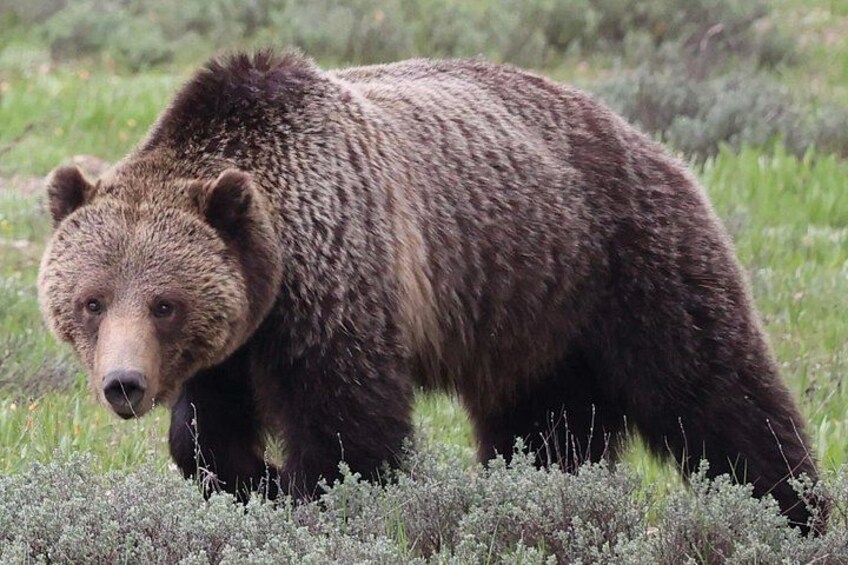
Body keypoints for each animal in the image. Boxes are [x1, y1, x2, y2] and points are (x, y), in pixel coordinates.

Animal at [38, 51, 825, 533]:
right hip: (534, 323)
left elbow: (349, 429)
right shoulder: (239, 335)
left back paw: (793, 512)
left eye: (164, 302)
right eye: (92, 300)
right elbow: (203, 429)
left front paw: (308, 496)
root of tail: (645, 136)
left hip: (625, 263)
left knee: (717, 393)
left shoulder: (342, 283)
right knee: (546, 429)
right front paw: (250, 479)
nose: (124, 384)